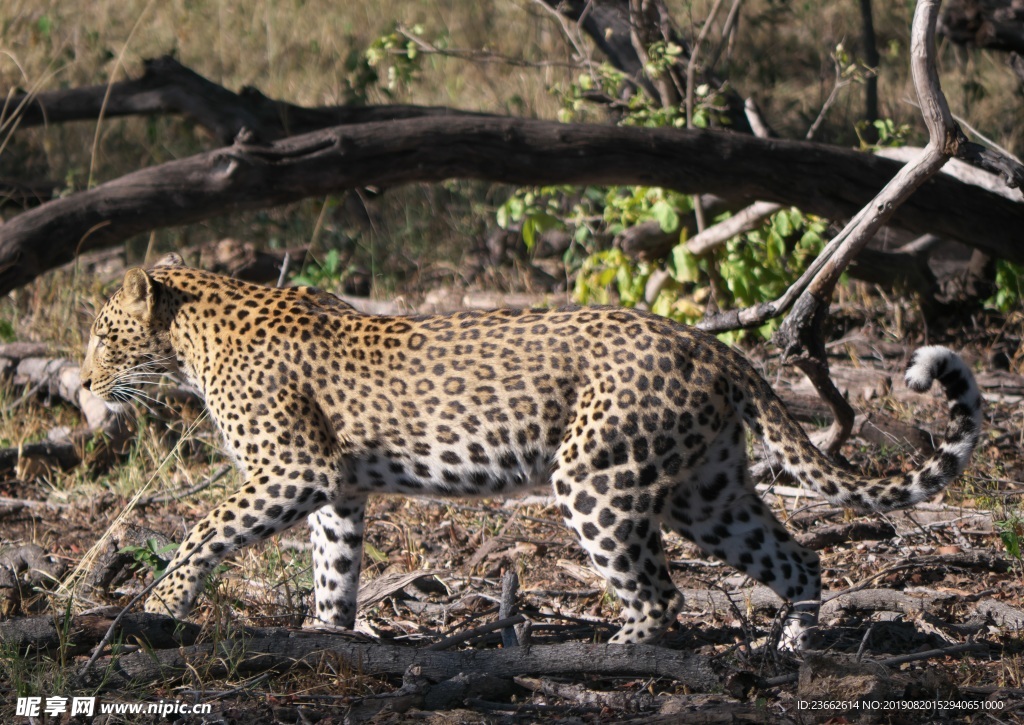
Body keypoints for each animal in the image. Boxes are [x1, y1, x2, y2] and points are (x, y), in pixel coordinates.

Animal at [81, 253, 983, 647]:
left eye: (99, 331)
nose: (84, 380)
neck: (193, 339)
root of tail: (709, 345)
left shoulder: (294, 470)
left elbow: (203, 528)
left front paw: (164, 604)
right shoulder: (336, 485)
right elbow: (334, 567)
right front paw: (328, 635)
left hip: (598, 477)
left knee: (661, 596)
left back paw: (617, 657)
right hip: (708, 490)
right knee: (797, 559)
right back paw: (788, 656)